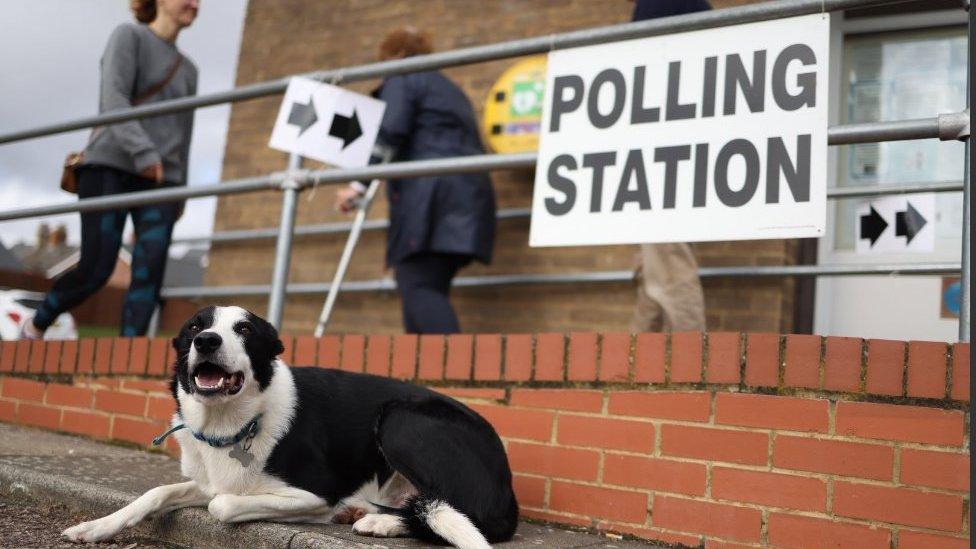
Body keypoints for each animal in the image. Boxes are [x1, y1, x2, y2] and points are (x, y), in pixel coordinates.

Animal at [63, 306, 520, 544]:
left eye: (244, 329)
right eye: (194, 326)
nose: (207, 341)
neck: (235, 421)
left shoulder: (315, 491)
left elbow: (222, 504)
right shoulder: (210, 479)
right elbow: (156, 493)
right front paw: (95, 527)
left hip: (400, 419)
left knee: (470, 515)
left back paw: (380, 520)